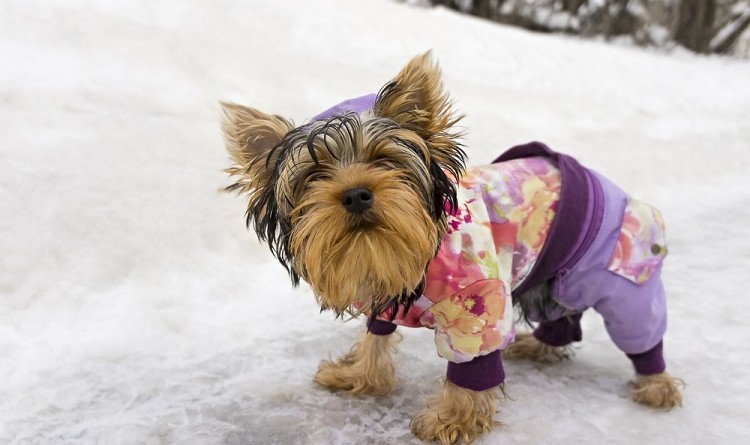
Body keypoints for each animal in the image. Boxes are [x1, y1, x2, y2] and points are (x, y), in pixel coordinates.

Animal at [220, 53, 684, 444]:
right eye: (314, 175)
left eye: (385, 159)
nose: (355, 194)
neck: (400, 245)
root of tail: (609, 187)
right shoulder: (384, 289)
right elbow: (375, 336)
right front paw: (361, 374)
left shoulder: (478, 301)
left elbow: (473, 364)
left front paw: (454, 419)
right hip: (559, 274)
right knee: (560, 312)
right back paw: (541, 347)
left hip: (618, 276)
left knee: (640, 327)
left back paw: (657, 384)